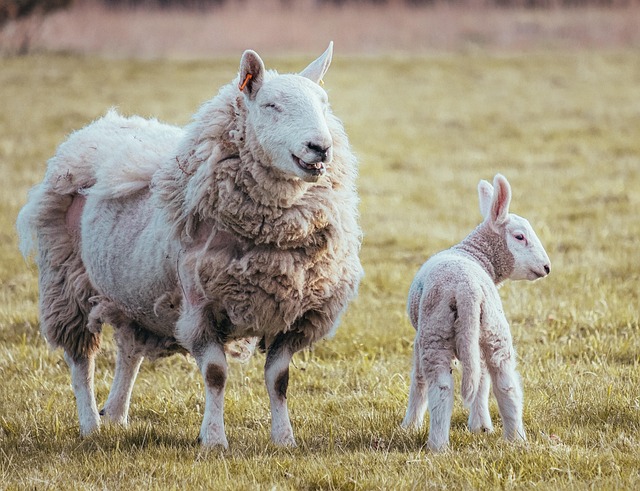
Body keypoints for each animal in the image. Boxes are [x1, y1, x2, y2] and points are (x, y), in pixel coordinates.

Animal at [16, 42, 364, 448]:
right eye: (270, 105)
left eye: (324, 104)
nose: (320, 147)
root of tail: (94, 129)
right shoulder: (200, 307)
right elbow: (215, 374)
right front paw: (214, 440)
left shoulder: (293, 314)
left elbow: (279, 380)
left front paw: (284, 439)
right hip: (66, 280)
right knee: (80, 360)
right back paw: (90, 425)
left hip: (135, 293)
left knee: (129, 351)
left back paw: (115, 413)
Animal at [401, 174, 550, 452]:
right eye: (520, 237)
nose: (547, 267)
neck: (473, 253)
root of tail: (467, 288)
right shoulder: (477, 340)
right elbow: (481, 380)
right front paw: (481, 426)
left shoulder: (419, 339)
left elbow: (418, 379)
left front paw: (409, 425)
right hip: (493, 330)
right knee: (505, 383)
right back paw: (515, 439)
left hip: (435, 331)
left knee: (441, 387)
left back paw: (437, 446)